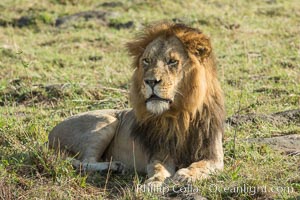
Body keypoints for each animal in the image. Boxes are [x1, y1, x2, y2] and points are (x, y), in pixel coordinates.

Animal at [48, 21, 224, 185]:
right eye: (146, 60)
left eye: (172, 61)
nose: (151, 81)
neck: (182, 114)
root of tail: (50, 134)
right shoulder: (159, 154)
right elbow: (157, 168)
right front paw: (154, 182)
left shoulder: (214, 157)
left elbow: (200, 166)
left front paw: (185, 175)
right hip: (107, 121)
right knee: (83, 162)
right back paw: (114, 166)